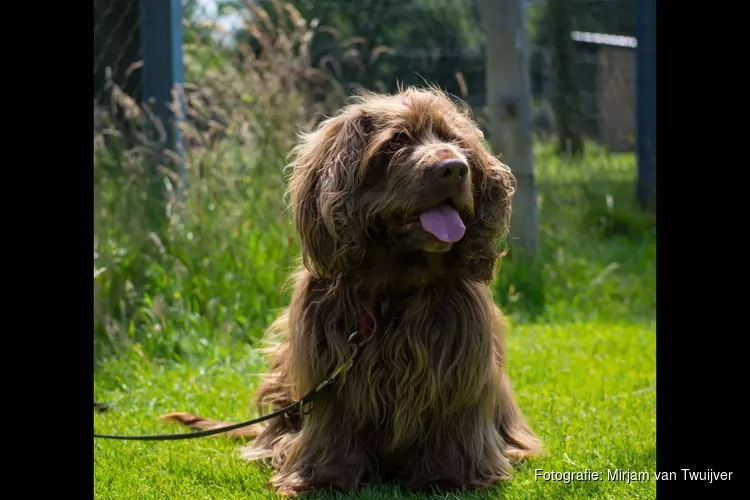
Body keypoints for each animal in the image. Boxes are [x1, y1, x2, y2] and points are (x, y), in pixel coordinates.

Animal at [162, 87, 544, 496]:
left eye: (455, 141)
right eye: (396, 142)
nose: (455, 168)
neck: (394, 288)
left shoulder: (459, 363)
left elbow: (453, 423)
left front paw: (449, 477)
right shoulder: (328, 365)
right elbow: (333, 426)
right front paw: (324, 478)